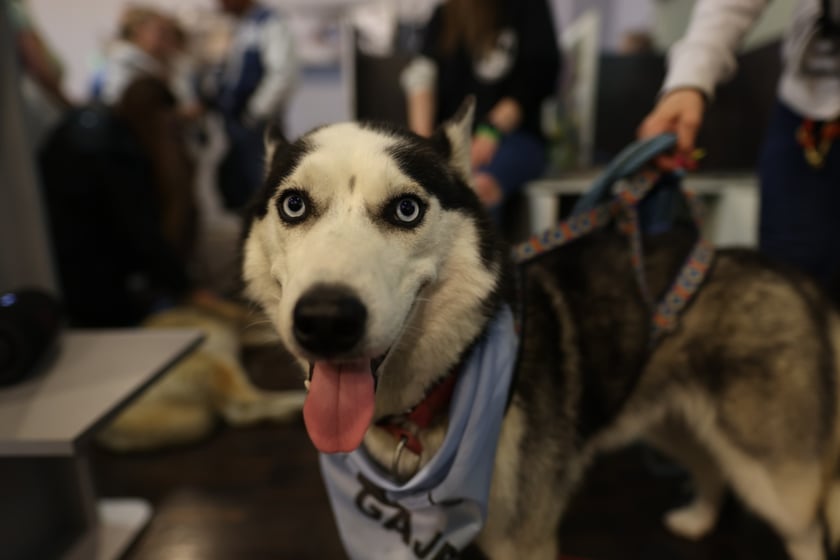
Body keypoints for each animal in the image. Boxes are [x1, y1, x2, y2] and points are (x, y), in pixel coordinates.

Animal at [240, 101, 840, 560]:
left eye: (406, 209)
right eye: (294, 204)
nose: (326, 320)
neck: (426, 407)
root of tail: (794, 277)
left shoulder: (523, 541)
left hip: (775, 471)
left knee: (805, 528)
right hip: (670, 421)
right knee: (711, 468)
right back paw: (697, 518)